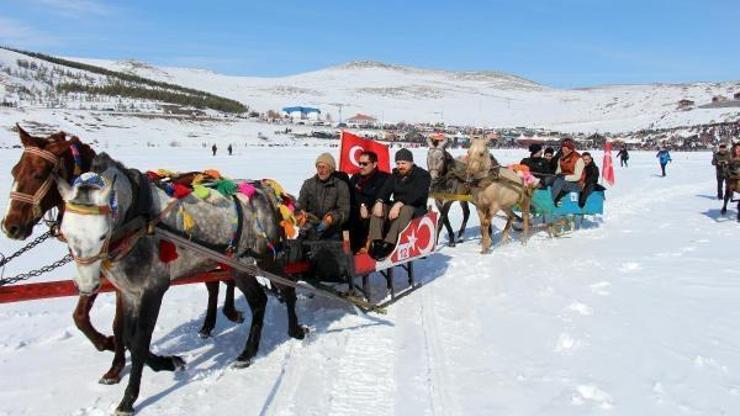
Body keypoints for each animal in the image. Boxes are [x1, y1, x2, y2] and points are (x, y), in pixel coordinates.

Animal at [0, 124, 241, 384]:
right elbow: (82, 317)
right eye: (14, 171)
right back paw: (208, 326)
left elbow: (120, 327)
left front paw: (123, 358)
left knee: (227, 279)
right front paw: (112, 353)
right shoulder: (100, 274)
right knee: (214, 284)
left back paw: (231, 313)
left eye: (39, 174)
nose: (11, 226)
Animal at [56, 154, 306, 416]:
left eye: (102, 234)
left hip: (266, 258)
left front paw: (128, 399)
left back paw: (293, 330)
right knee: (259, 300)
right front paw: (168, 362)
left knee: (287, 287)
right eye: (65, 232)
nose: (86, 285)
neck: (138, 220)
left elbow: (139, 341)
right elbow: (127, 337)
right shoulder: (128, 292)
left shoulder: (153, 289)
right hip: (240, 266)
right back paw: (249, 352)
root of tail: (265, 190)